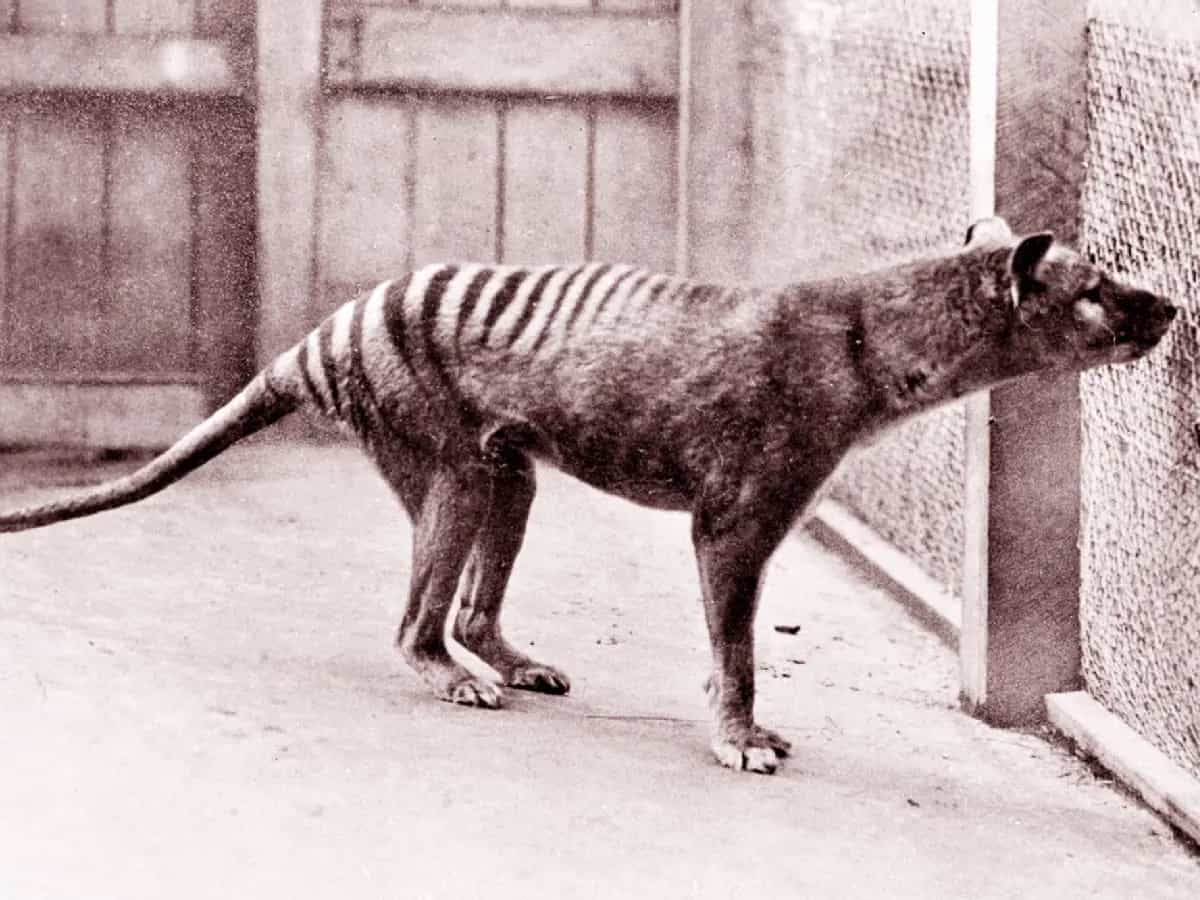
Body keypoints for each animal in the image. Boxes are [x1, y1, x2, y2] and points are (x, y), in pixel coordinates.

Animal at [0, 216, 1178, 774]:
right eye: (1094, 290)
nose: (1168, 306)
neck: (868, 336)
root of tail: (317, 339)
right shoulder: (736, 517)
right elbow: (736, 649)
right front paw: (741, 736)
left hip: (507, 469)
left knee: (473, 602)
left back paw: (508, 660)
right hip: (450, 465)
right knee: (417, 622)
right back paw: (455, 678)